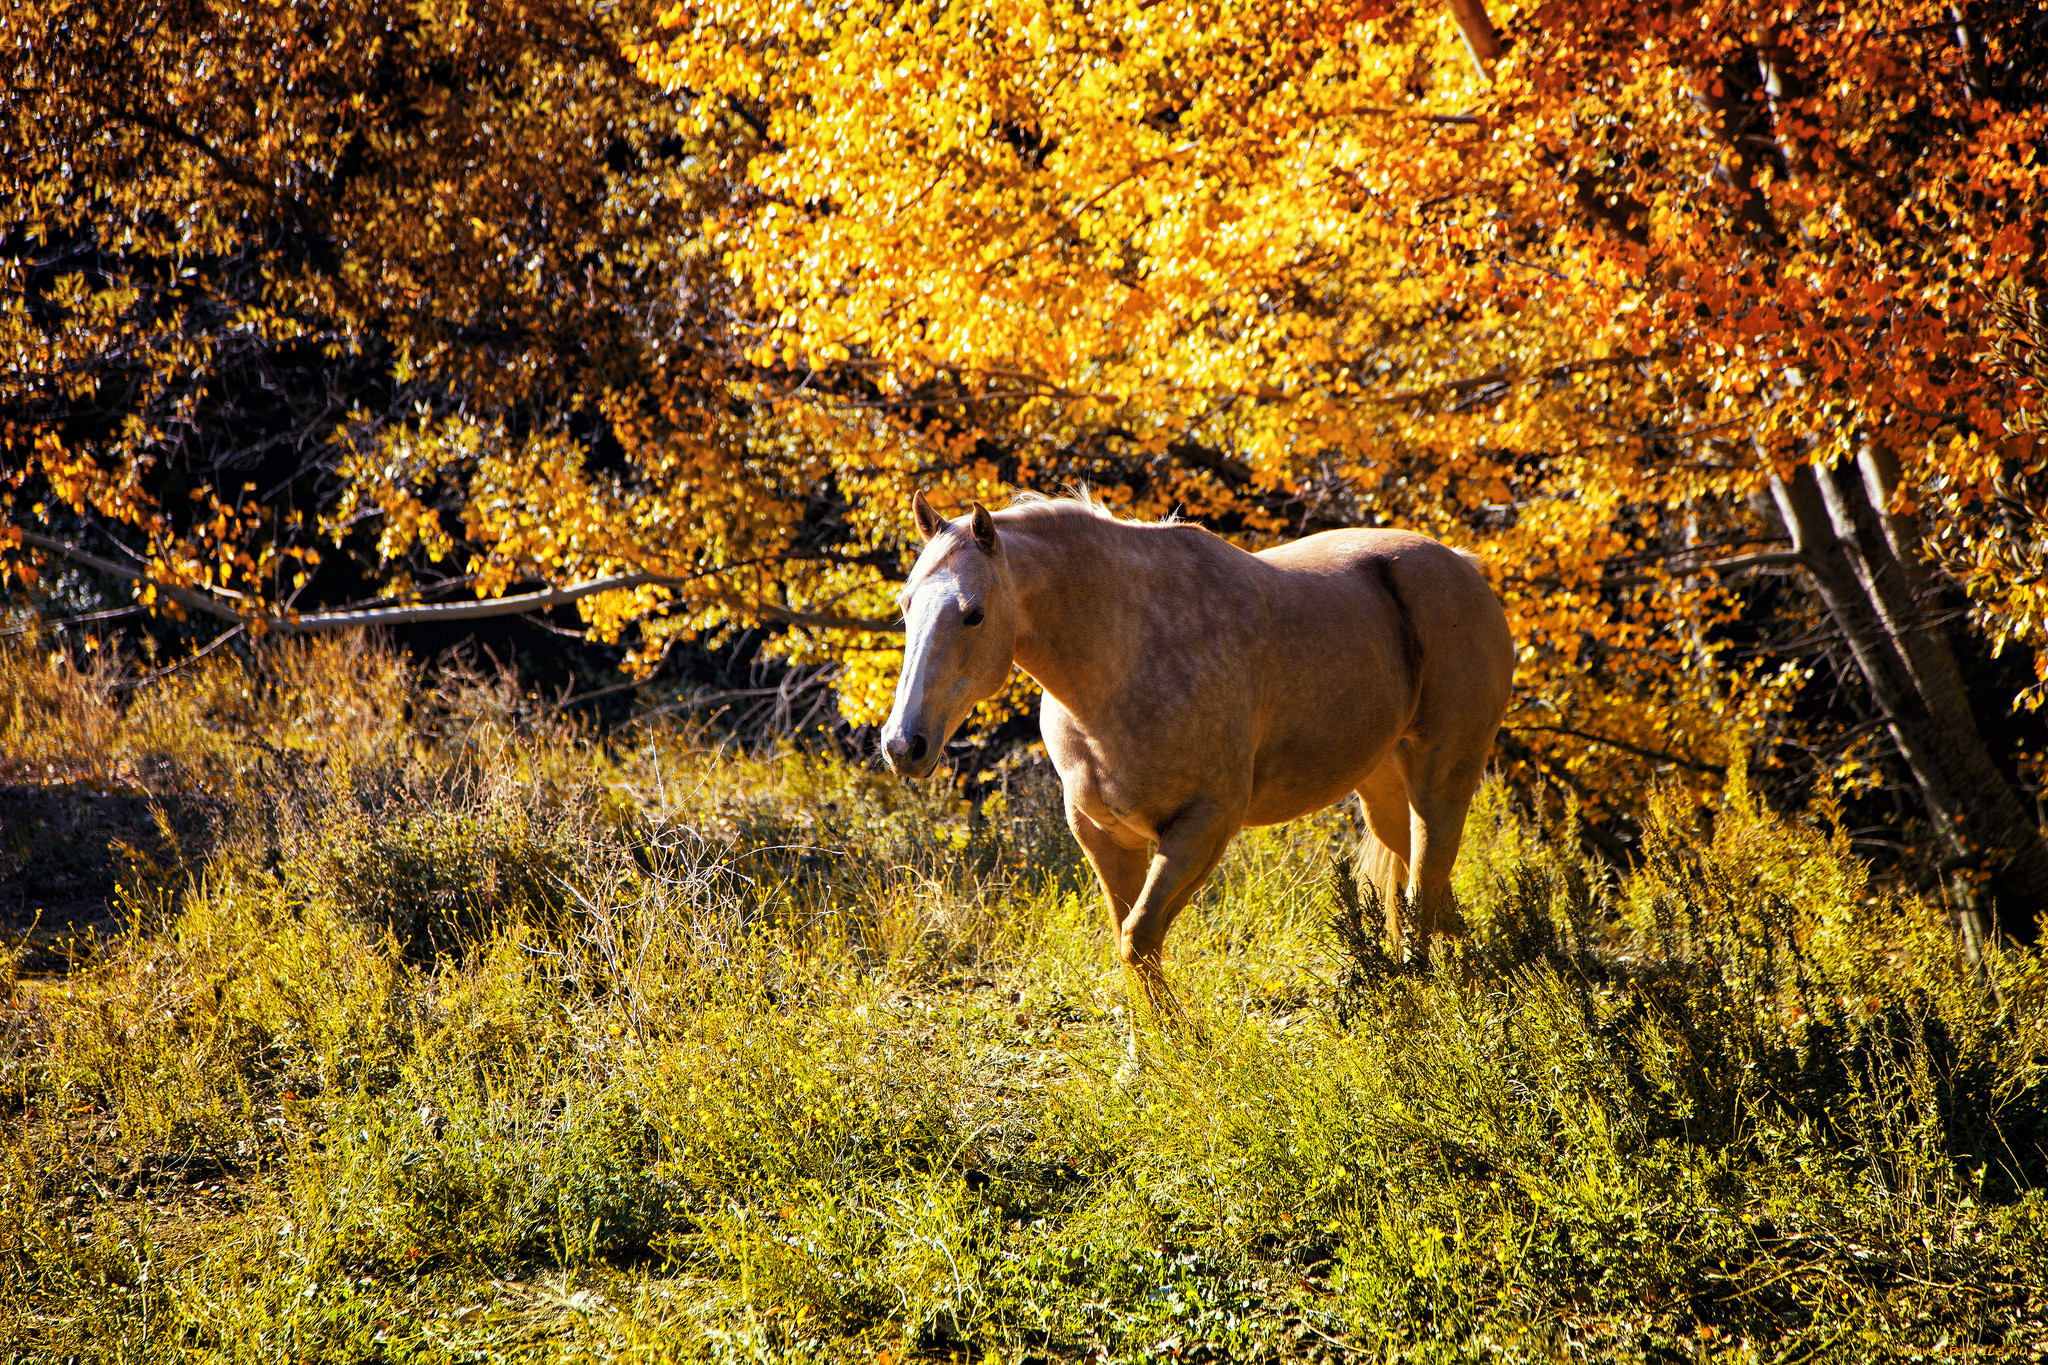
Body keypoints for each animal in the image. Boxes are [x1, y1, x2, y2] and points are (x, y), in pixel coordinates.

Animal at [872, 485, 1515, 998]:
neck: (1123, 657)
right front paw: (1149, 1052)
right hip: (1382, 787)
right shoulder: (1104, 836)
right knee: (1426, 892)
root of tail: (1464, 567)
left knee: (1425, 889)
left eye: (973, 614)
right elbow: (1129, 939)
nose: (904, 744)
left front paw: (1179, 1048)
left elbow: (1138, 938)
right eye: (905, 604)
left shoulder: (1203, 826)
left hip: (1442, 777)